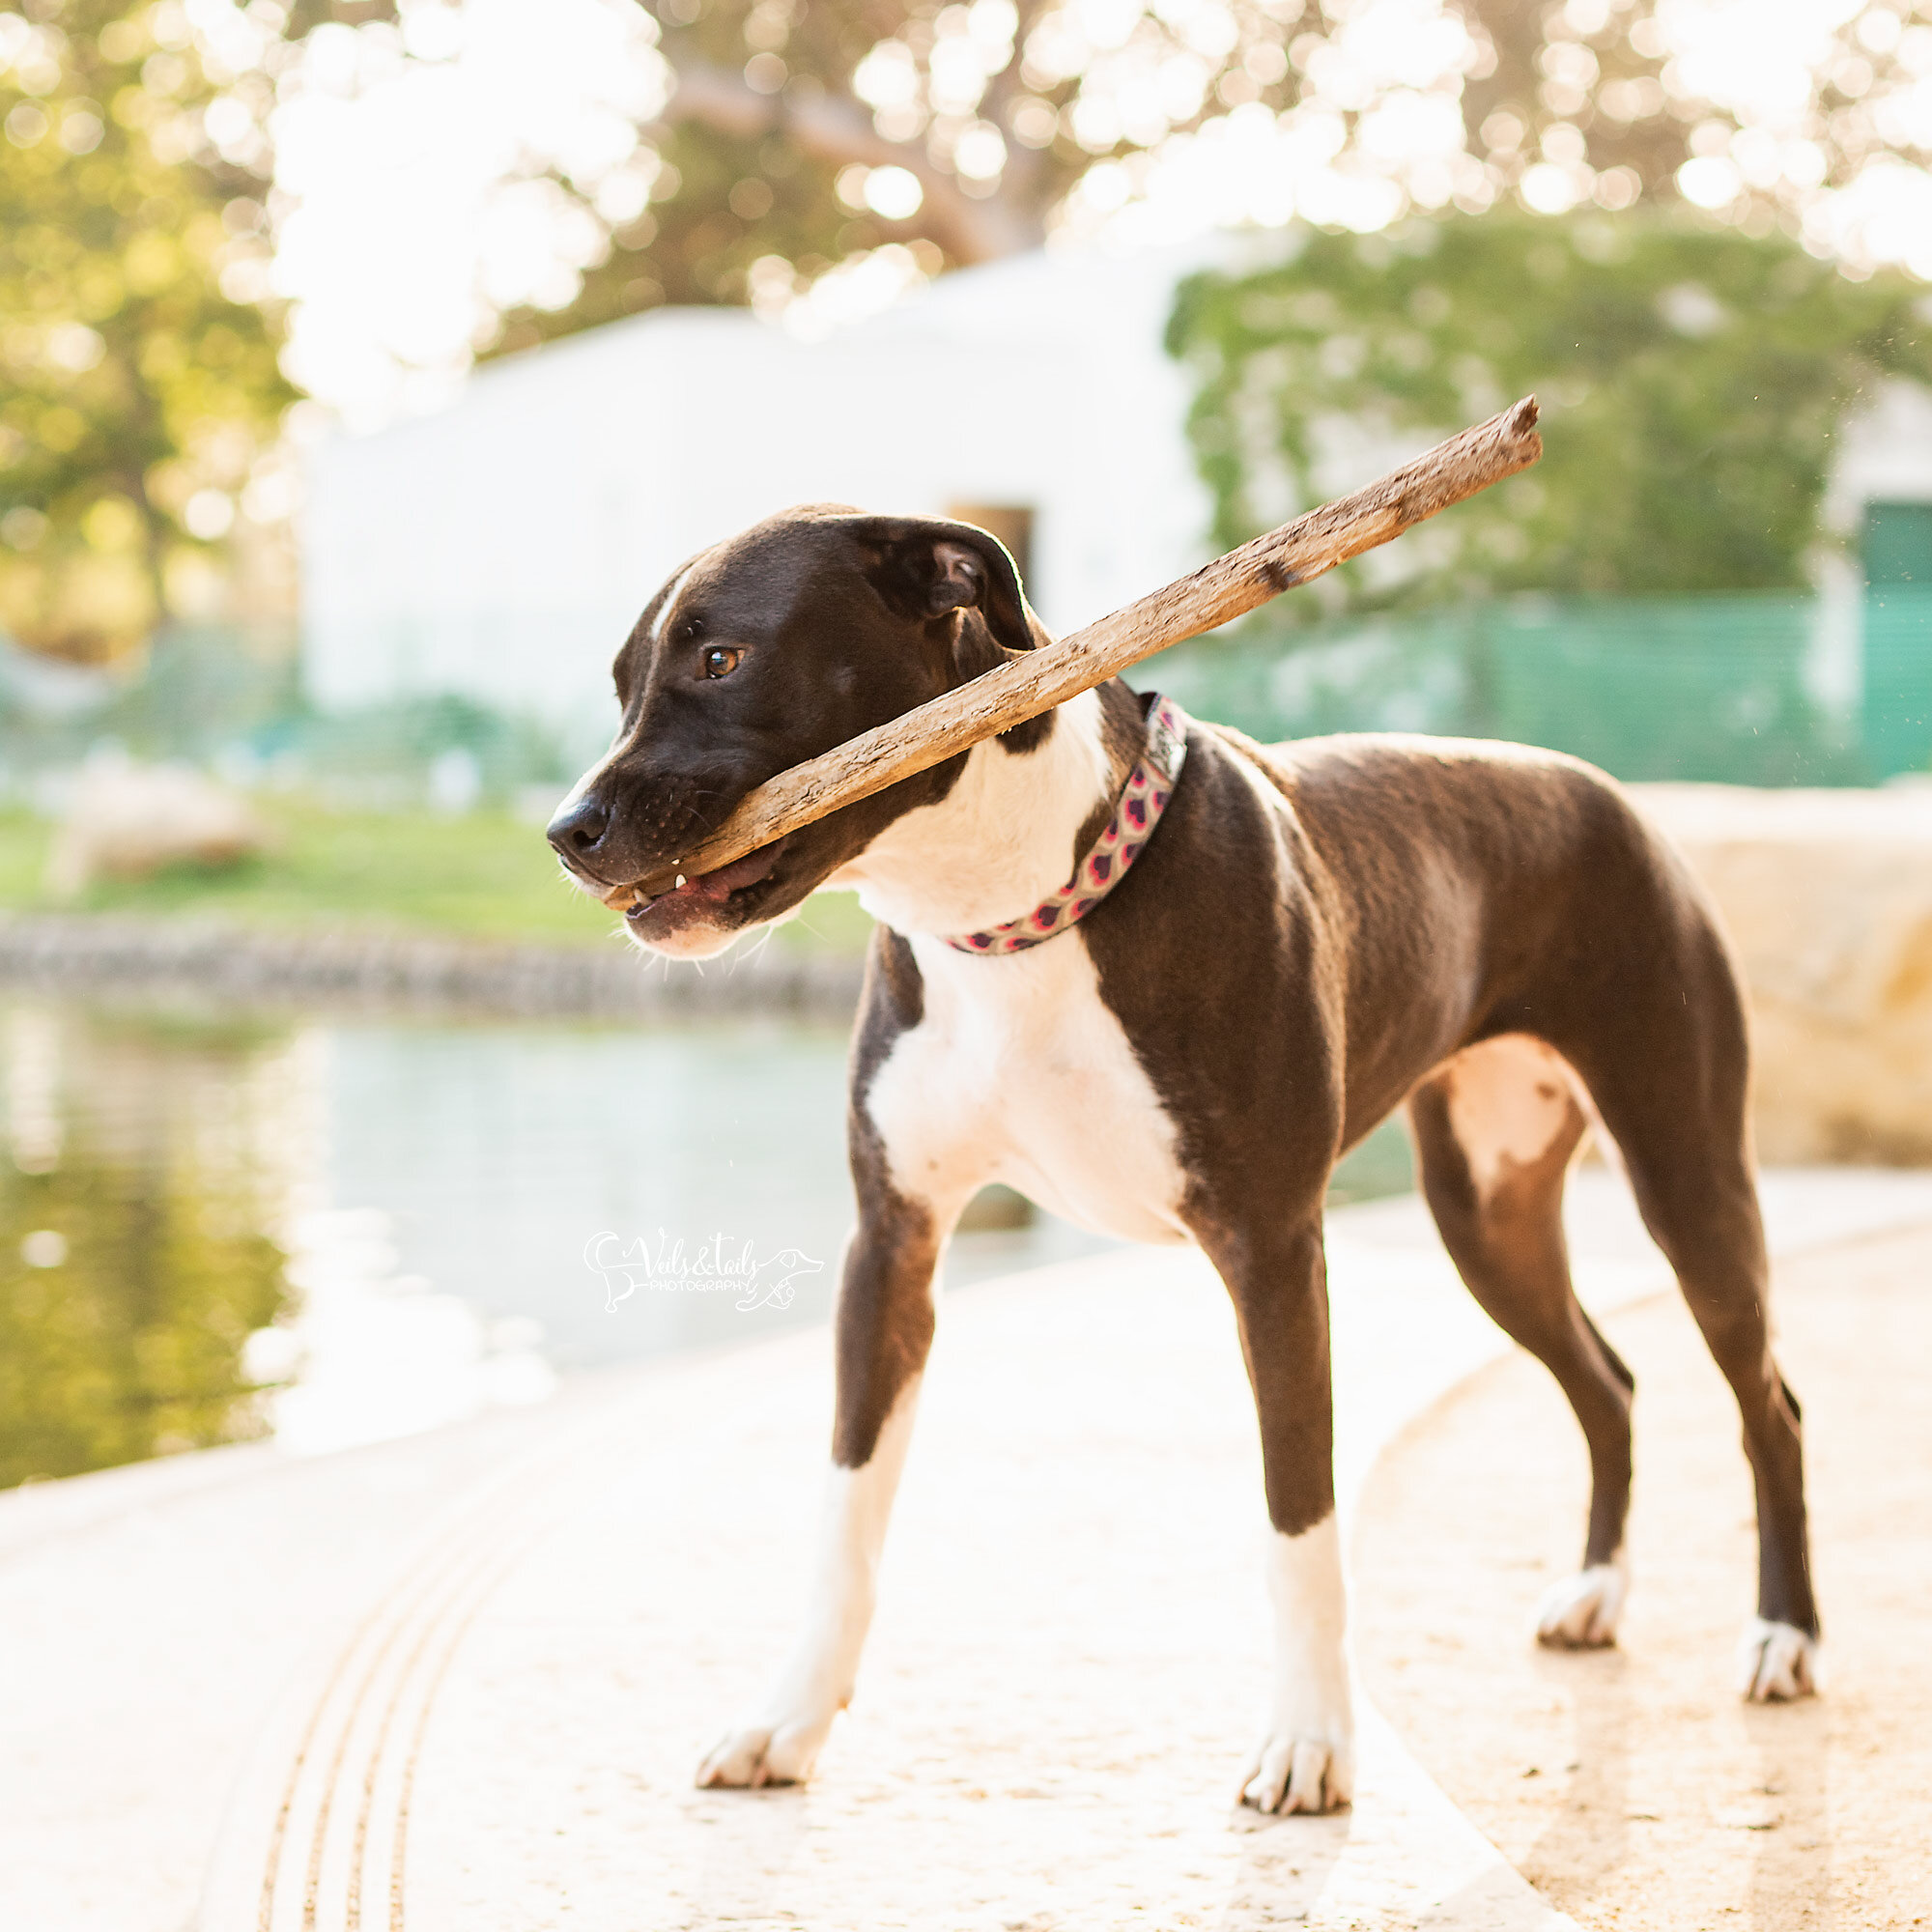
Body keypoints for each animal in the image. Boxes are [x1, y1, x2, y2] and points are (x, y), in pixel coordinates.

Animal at [553, 506, 1816, 1801]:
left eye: (721, 659)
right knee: (1607, 1382)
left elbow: (1297, 1514)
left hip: (1685, 1178)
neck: (1004, 912)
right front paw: (787, 1718)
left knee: (1767, 1402)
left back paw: (1782, 1636)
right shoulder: (891, 1248)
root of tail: (1603, 789)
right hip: (1487, 1215)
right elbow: (843, 1518)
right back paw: (1597, 1592)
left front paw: (1309, 1739)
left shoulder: (1270, 1251)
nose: (567, 832)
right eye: (621, 683)